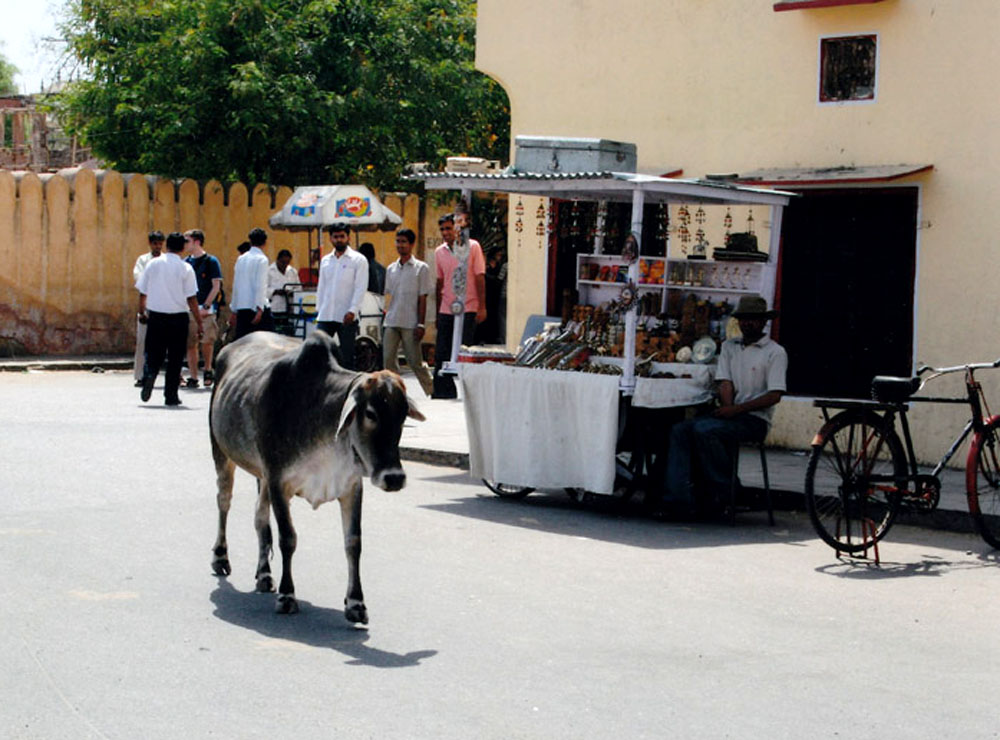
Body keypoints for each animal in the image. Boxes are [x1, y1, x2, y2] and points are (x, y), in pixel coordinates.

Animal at [209, 330, 424, 624]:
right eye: (370, 413)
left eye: (402, 416)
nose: (394, 478)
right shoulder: (278, 481)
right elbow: (288, 538)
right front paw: (287, 596)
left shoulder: (351, 487)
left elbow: (353, 542)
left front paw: (356, 603)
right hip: (222, 453)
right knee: (224, 501)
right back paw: (221, 558)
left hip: (261, 476)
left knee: (259, 517)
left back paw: (264, 574)